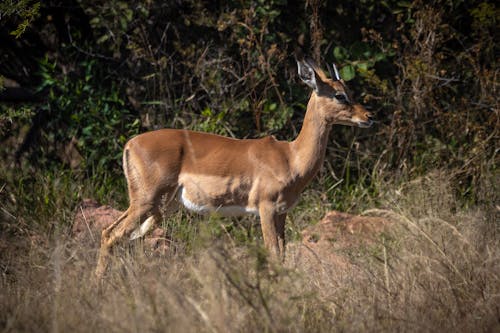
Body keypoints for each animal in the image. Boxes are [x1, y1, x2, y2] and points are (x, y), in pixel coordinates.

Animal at [95, 51, 374, 274]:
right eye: (339, 95)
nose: (369, 116)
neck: (291, 157)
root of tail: (130, 144)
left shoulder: (282, 212)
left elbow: (282, 254)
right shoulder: (266, 208)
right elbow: (272, 253)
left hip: (161, 207)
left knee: (122, 236)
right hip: (146, 201)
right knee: (111, 234)